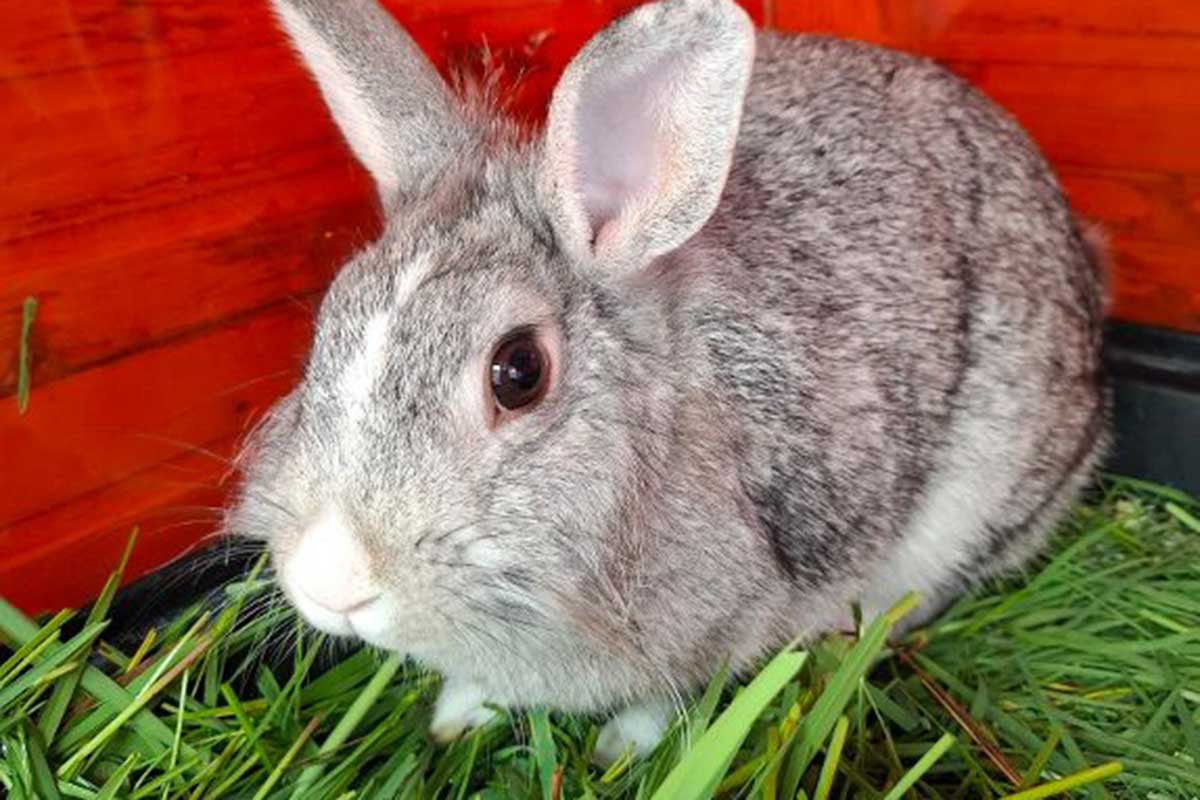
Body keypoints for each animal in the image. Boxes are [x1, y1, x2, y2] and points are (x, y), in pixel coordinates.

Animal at [228, 0, 1110, 762]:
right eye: (326, 327)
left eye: (519, 372)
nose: (329, 580)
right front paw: (457, 716)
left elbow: (675, 694)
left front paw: (621, 747)